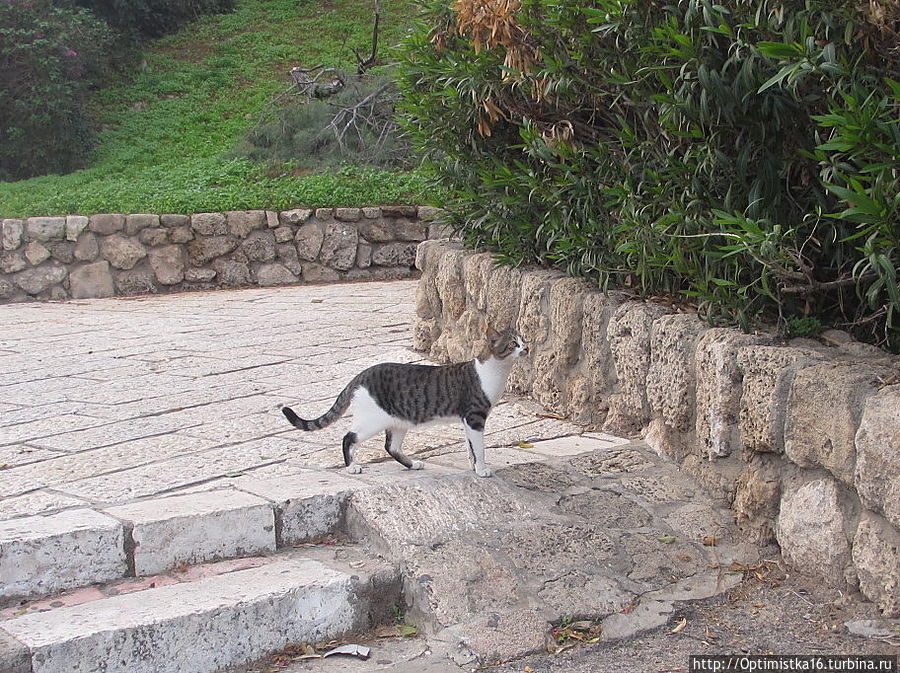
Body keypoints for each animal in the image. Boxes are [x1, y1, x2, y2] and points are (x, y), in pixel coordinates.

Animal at [282, 326, 528, 478]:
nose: (527, 348)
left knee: (391, 447)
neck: (494, 370)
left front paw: (474, 466)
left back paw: (413, 464)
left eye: (524, 339)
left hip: (399, 421)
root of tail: (360, 376)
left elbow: (471, 448)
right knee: (348, 438)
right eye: (513, 344)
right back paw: (352, 467)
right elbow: (479, 448)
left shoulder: (467, 421)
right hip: (372, 421)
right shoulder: (475, 417)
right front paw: (482, 469)